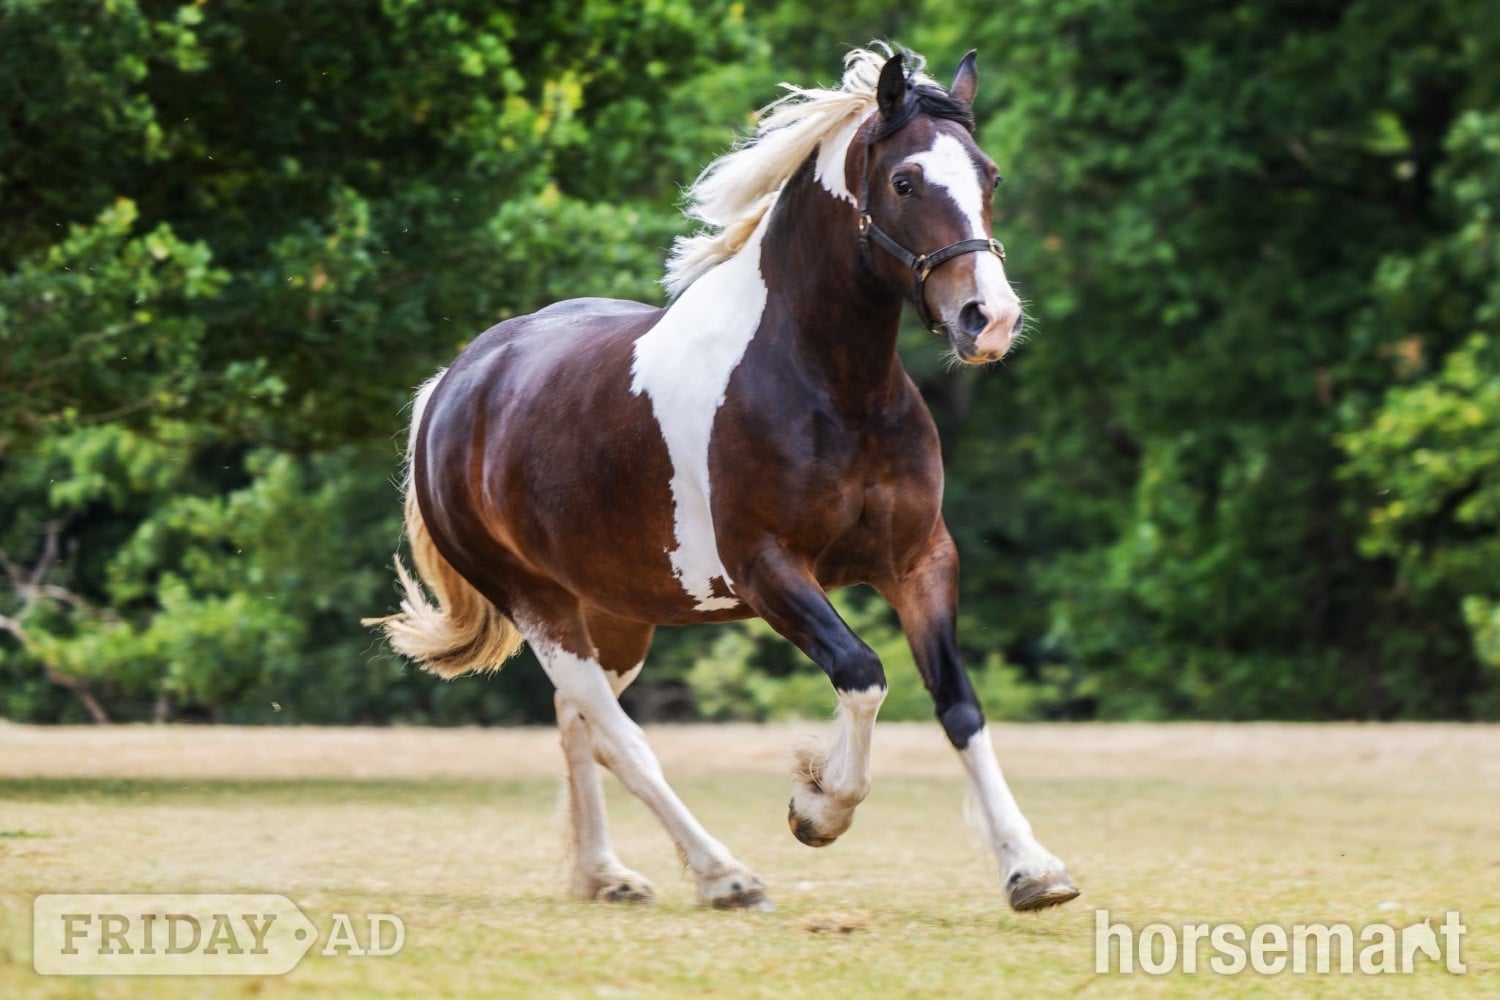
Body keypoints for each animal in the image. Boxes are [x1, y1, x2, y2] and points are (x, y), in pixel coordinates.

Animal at [365, 46, 1080, 913]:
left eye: (990, 174)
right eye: (906, 180)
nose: (990, 319)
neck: (831, 388)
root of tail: (455, 384)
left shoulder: (919, 561)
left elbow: (958, 704)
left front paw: (1031, 869)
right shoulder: (768, 570)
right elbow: (862, 676)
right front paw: (818, 806)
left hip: (616, 613)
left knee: (578, 723)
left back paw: (606, 875)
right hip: (540, 605)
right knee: (619, 736)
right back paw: (724, 875)